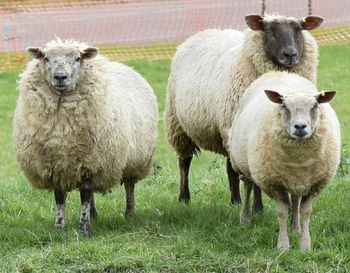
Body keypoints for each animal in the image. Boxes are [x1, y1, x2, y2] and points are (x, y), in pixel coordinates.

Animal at [13, 38, 159, 236]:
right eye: (46, 58)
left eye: (77, 59)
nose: (60, 77)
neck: (62, 129)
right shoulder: (56, 165)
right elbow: (60, 197)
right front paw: (60, 226)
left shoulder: (92, 163)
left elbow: (85, 195)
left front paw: (85, 229)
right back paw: (95, 214)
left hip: (135, 160)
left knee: (129, 186)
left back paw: (129, 212)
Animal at [165, 13, 324, 210]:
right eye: (269, 30)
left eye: (299, 29)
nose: (290, 54)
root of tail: (201, 33)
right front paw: (256, 207)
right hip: (179, 124)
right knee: (185, 162)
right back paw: (185, 198)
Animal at [228, 71, 340, 250]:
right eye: (284, 106)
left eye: (315, 106)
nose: (300, 127)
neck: (299, 160)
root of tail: (278, 72)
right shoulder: (274, 184)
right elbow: (281, 212)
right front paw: (283, 247)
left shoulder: (313, 184)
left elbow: (305, 211)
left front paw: (305, 246)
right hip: (242, 164)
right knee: (248, 187)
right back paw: (245, 218)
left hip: (295, 179)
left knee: (294, 199)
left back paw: (296, 229)